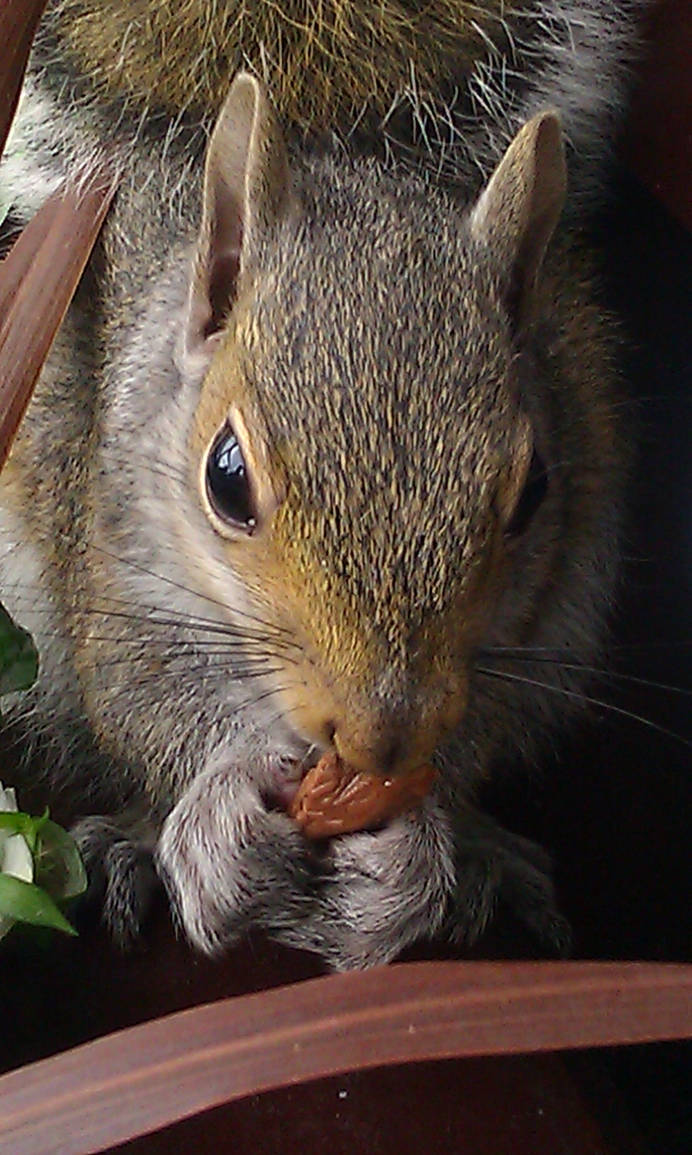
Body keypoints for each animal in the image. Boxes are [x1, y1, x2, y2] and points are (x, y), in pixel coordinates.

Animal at [0, 4, 642, 970]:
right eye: (225, 479)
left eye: (533, 492)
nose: (381, 735)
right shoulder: (109, 542)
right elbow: (144, 695)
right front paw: (221, 807)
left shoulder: (539, 614)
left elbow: (477, 729)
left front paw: (417, 849)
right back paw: (135, 845)